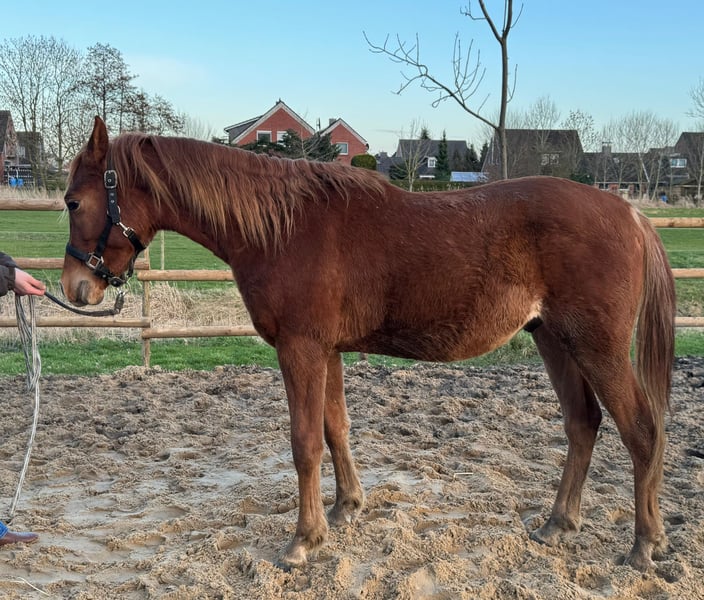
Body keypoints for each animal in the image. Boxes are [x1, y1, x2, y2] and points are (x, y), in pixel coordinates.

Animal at [60, 116, 676, 572]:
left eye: (72, 202)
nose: (75, 287)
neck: (283, 228)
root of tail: (628, 212)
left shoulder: (301, 349)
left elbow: (305, 441)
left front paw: (302, 540)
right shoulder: (326, 350)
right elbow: (336, 429)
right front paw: (345, 509)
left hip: (595, 347)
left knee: (641, 431)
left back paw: (645, 544)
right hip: (554, 340)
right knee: (583, 424)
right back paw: (558, 524)